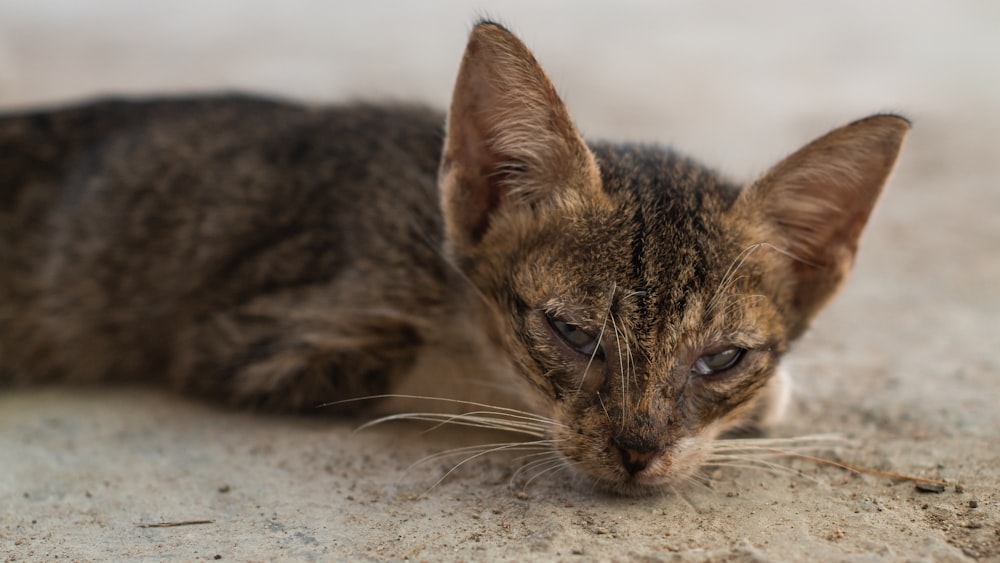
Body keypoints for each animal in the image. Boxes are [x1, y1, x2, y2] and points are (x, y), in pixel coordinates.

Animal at [0, 22, 908, 494]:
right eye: (573, 334)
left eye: (721, 358)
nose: (638, 451)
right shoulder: (252, 336)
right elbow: (443, 380)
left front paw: (758, 401)